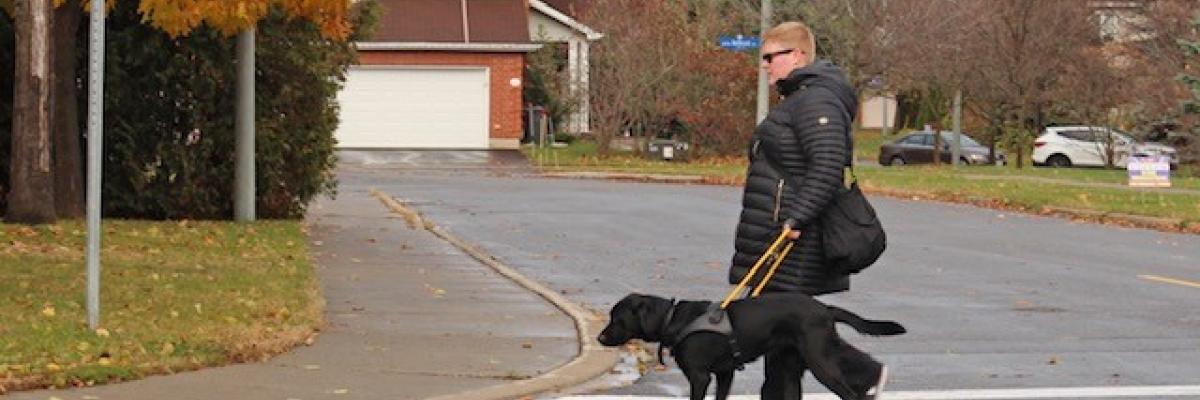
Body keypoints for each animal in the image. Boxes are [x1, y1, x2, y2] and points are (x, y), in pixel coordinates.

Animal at [600, 289, 902, 398]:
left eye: (616, 318)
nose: (599, 338)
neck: (672, 319)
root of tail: (825, 309)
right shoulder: (725, 374)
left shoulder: (699, 377)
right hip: (792, 366)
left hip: (820, 360)